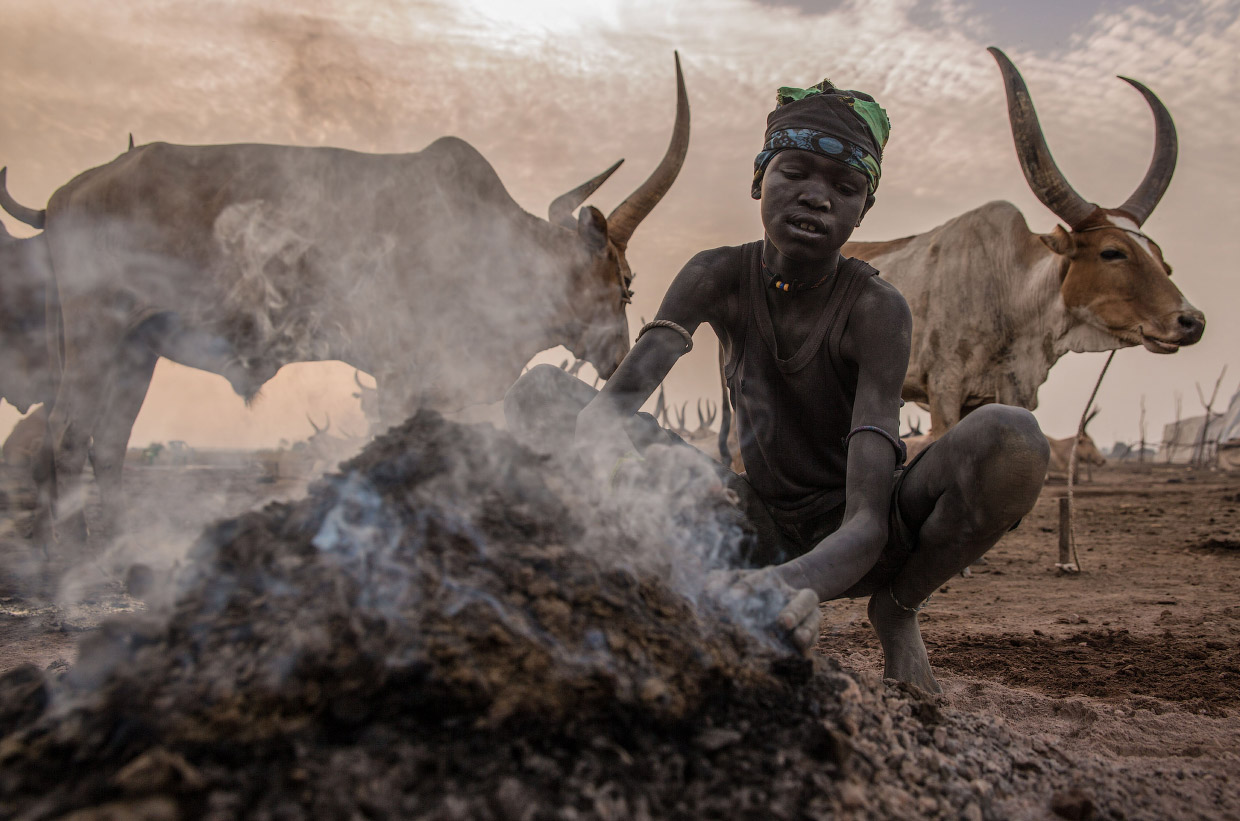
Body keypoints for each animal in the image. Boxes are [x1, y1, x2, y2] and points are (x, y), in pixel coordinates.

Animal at [843, 48, 1200, 436]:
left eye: (1164, 263)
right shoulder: (944, 388)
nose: (1192, 322)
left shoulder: (1007, 393)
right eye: (1112, 252)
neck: (1011, 290)